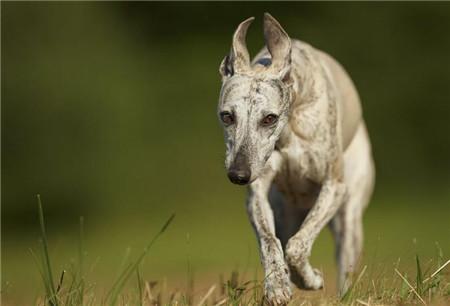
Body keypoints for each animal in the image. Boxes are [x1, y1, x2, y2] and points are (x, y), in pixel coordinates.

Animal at [216, 13, 374, 304]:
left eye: (270, 118)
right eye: (227, 116)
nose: (238, 175)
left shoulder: (333, 187)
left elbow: (297, 247)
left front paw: (310, 278)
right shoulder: (257, 196)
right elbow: (270, 243)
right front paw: (277, 286)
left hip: (349, 217)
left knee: (344, 262)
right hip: (284, 213)